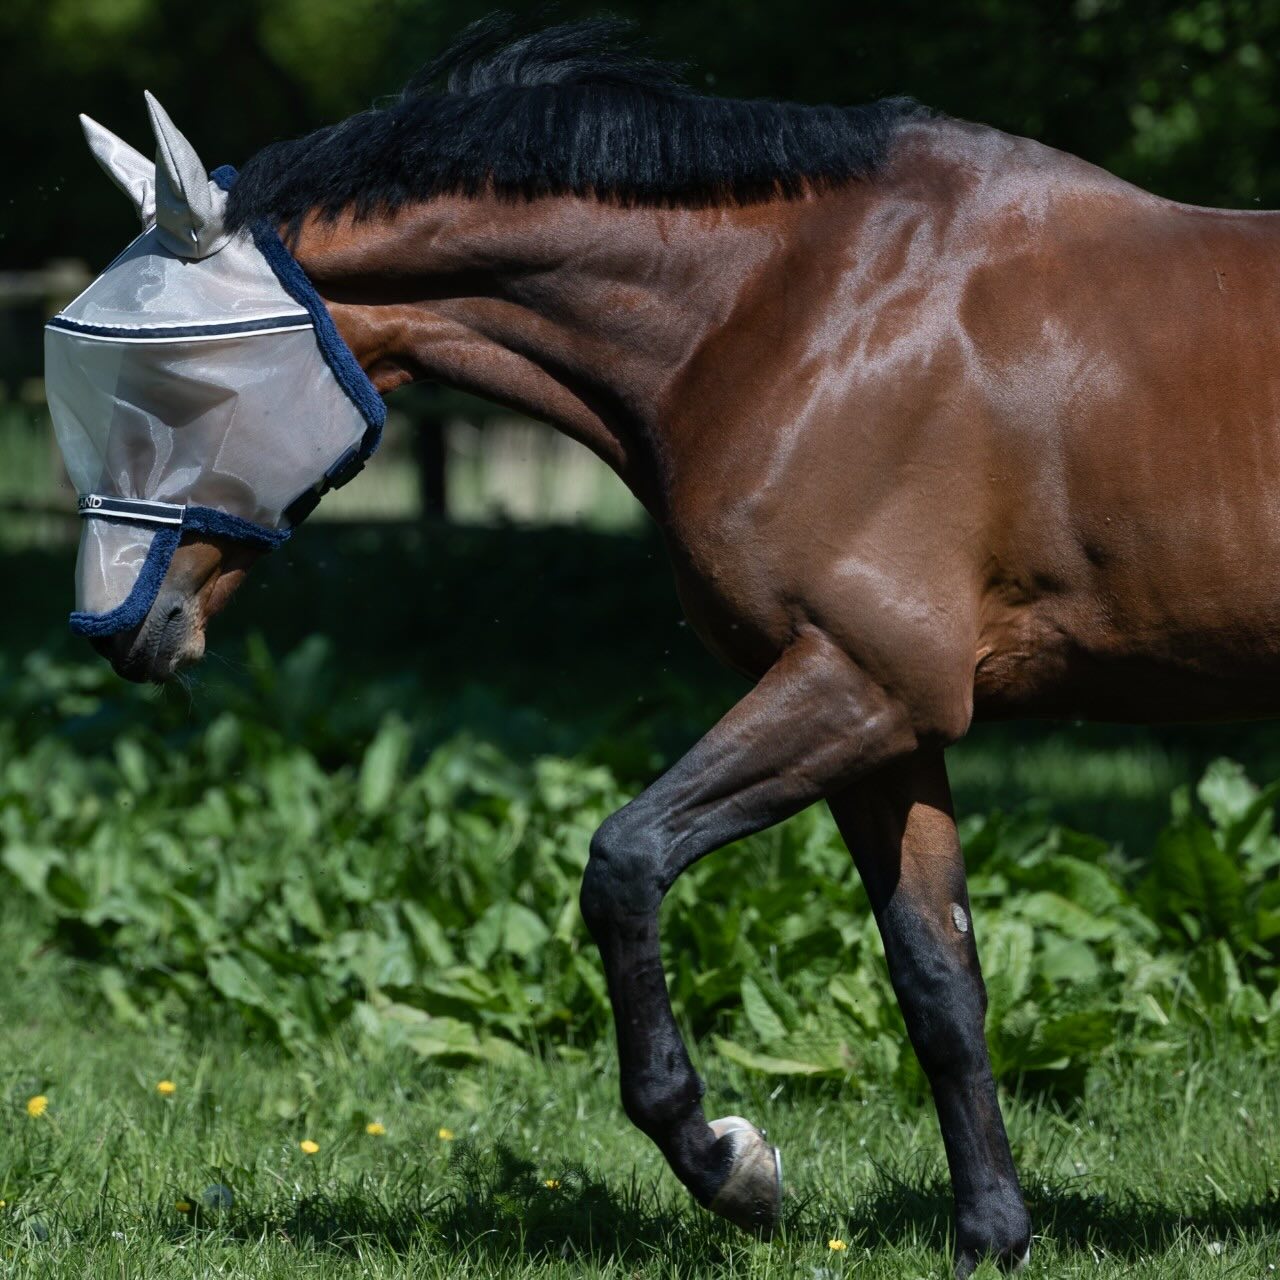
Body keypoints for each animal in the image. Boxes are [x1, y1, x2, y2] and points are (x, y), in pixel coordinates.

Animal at [69, 17, 1280, 1276]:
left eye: (177, 381)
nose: (119, 627)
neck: (794, 311)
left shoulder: (858, 681)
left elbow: (623, 862)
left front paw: (727, 1163)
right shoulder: (888, 724)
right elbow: (938, 980)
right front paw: (989, 1233)